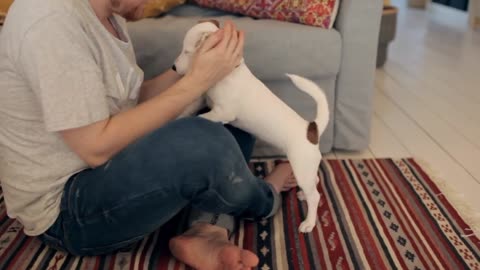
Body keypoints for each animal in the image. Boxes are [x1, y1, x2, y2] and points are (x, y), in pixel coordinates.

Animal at [173, 21, 330, 233]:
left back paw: (309, 222)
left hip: (301, 167)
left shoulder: (224, 112)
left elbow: (203, 117)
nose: (173, 67)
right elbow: (191, 107)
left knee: (316, 196)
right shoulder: (205, 99)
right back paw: (304, 196)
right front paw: (178, 116)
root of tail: (311, 129)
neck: (227, 73)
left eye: (187, 51)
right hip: (306, 170)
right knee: (315, 183)